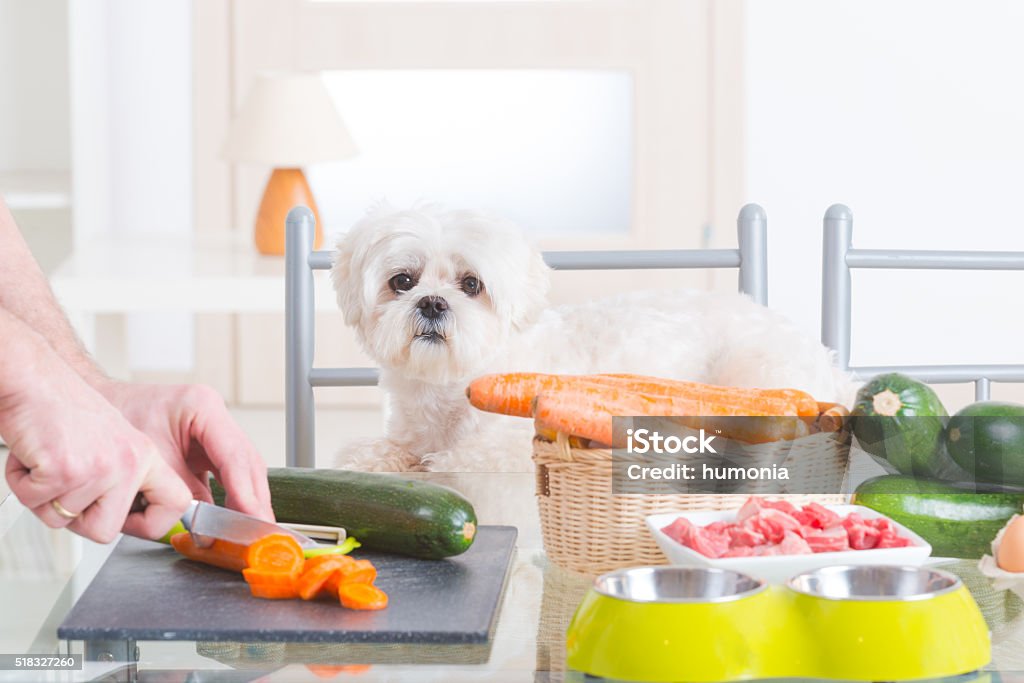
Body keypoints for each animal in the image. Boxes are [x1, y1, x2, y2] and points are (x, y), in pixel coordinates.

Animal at [331, 205, 851, 473]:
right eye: (402, 281)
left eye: (471, 284)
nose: (433, 303)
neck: (448, 385)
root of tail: (825, 359)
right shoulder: (404, 438)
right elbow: (373, 455)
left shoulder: (497, 457)